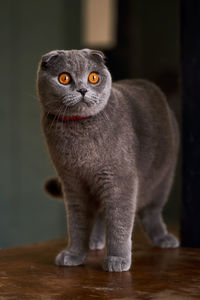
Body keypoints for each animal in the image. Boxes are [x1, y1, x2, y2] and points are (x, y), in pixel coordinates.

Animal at [36, 48, 180, 272]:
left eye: (93, 77)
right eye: (64, 78)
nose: (83, 90)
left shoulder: (120, 179)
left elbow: (119, 221)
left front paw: (117, 259)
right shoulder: (72, 183)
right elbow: (77, 224)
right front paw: (74, 254)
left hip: (163, 179)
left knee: (151, 212)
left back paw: (163, 238)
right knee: (99, 213)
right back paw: (94, 241)